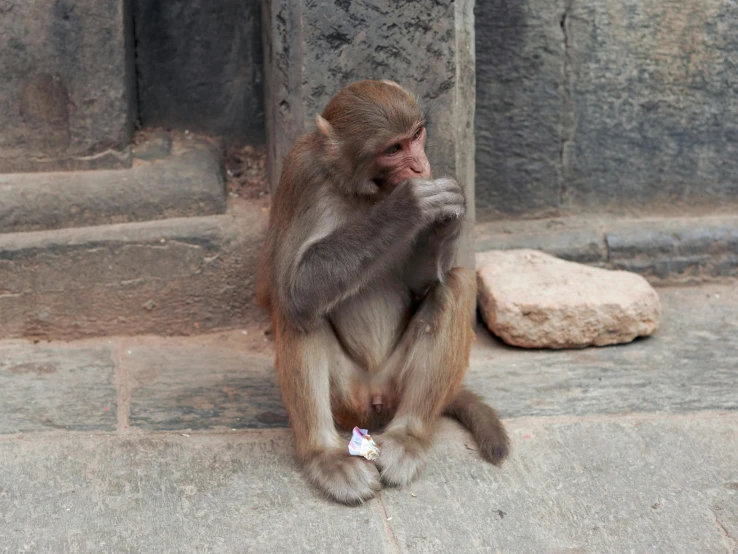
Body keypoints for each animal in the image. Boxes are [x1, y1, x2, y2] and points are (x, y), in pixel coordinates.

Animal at [258, 80, 506, 502]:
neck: (361, 191)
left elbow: (421, 283)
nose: (420, 167)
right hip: (344, 396)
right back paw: (325, 455)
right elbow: (292, 287)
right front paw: (406, 207)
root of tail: (371, 400)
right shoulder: (299, 174)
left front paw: (447, 216)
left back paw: (409, 436)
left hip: (395, 385)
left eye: (416, 136)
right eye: (393, 149)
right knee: (298, 312)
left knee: (456, 284)